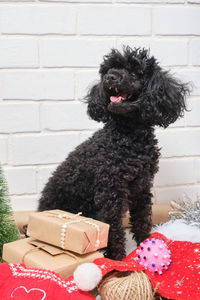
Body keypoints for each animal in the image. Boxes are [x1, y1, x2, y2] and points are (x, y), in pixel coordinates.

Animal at [38, 47, 189, 260]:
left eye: (135, 69)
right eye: (108, 69)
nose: (110, 77)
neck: (128, 137)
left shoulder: (142, 186)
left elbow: (142, 219)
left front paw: (145, 247)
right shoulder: (110, 193)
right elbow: (114, 231)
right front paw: (117, 260)